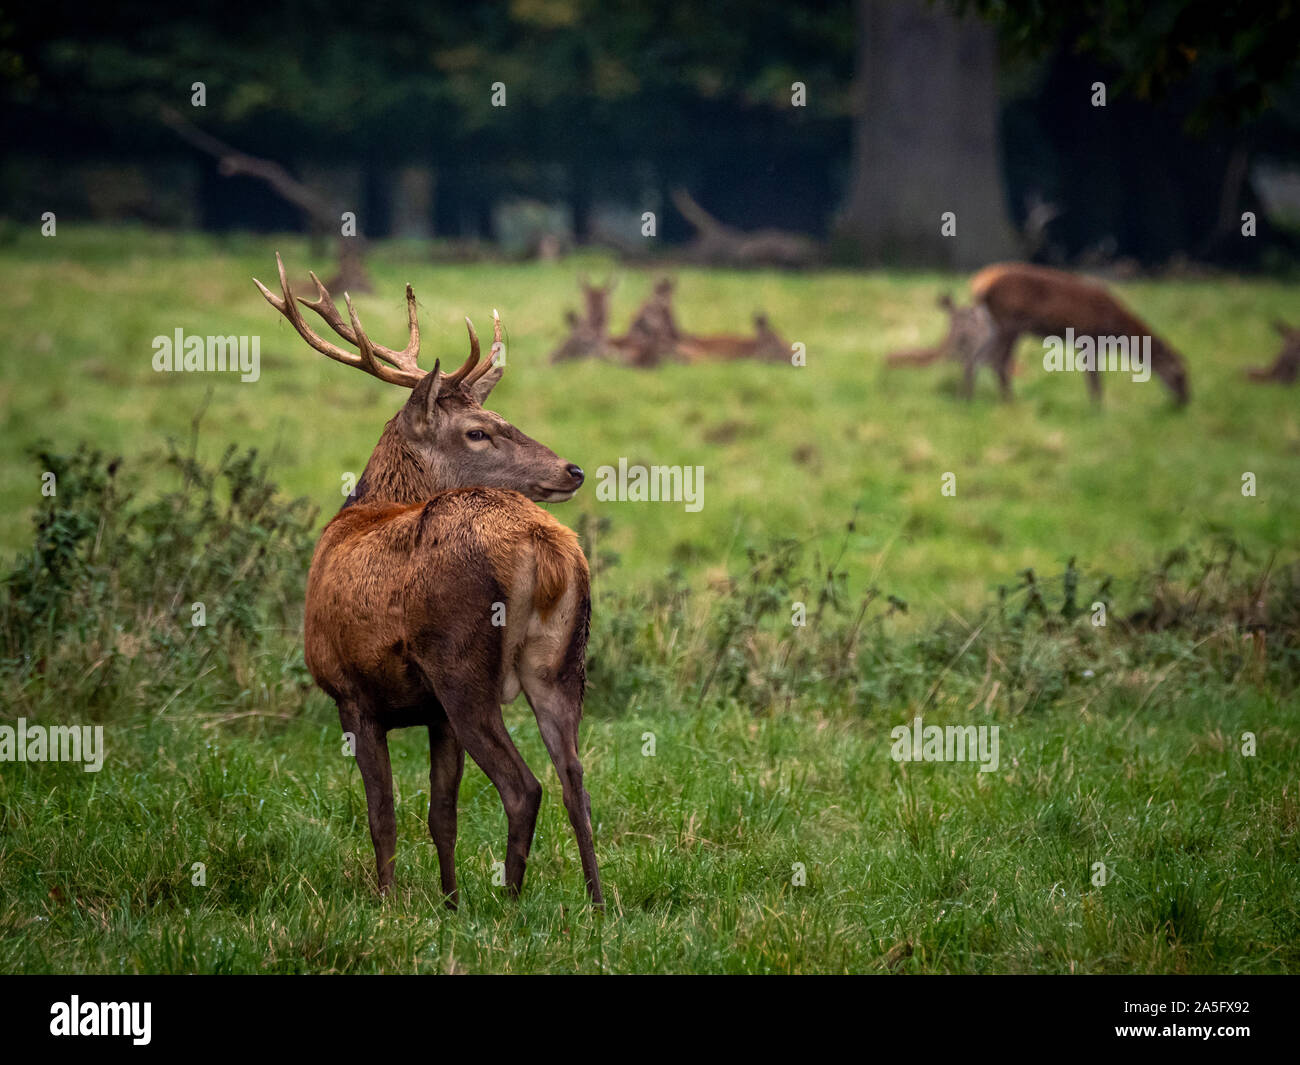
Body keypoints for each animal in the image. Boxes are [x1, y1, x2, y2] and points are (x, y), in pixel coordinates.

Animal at [254, 254, 602, 909]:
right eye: (479, 430)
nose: (572, 469)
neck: (361, 512)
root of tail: (544, 545)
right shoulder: (432, 715)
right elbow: (442, 815)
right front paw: (448, 902)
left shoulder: (352, 694)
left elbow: (383, 814)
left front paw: (389, 904)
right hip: (562, 661)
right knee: (575, 780)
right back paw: (597, 904)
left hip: (461, 663)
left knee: (525, 786)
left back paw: (510, 903)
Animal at [937, 263, 1190, 404]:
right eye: (1180, 375)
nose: (1185, 401)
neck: (1116, 328)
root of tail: (982, 291)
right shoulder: (1089, 337)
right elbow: (1094, 377)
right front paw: (1098, 408)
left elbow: (1092, 377)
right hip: (1010, 324)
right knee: (997, 362)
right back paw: (1008, 402)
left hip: (998, 326)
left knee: (979, 358)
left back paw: (968, 398)